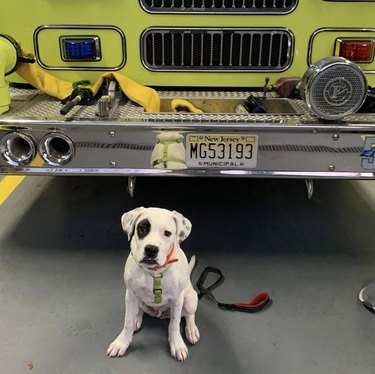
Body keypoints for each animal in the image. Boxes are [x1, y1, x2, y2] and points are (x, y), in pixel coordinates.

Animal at [107, 206, 201, 360]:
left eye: (167, 233)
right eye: (143, 228)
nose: (151, 249)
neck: (155, 272)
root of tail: (160, 314)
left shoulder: (177, 299)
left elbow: (175, 323)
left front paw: (177, 344)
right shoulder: (131, 295)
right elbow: (127, 322)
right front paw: (121, 342)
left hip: (190, 299)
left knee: (188, 315)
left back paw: (191, 329)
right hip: (136, 300)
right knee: (140, 310)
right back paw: (136, 319)